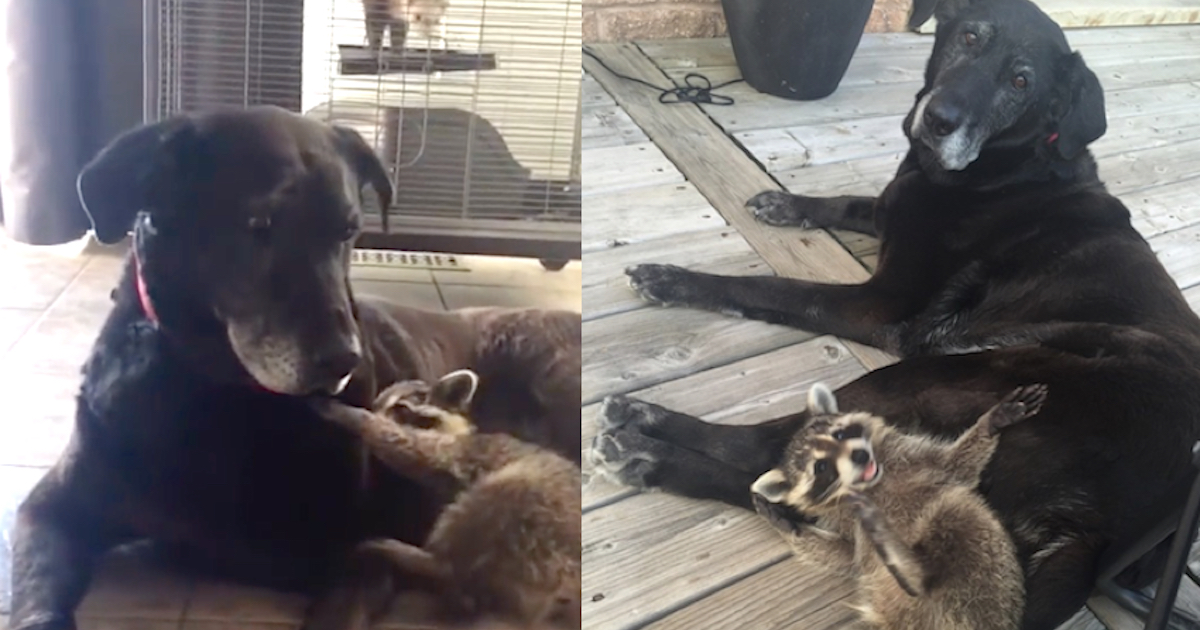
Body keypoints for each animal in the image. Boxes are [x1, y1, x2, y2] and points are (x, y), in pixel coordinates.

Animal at [300, 369, 580, 628]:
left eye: (401, 410)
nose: (372, 410)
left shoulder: (460, 453)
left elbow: (410, 447)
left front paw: (351, 416)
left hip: (538, 509)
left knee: (497, 497)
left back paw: (432, 563)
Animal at [753, 381, 1046, 624]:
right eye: (822, 467)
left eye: (839, 435)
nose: (860, 456)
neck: (872, 486)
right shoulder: (845, 521)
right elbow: (845, 555)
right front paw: (787, 524)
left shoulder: (915, 459)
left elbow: (955, 465)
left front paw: (991, 422)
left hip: (989, 572)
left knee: (954, 512)